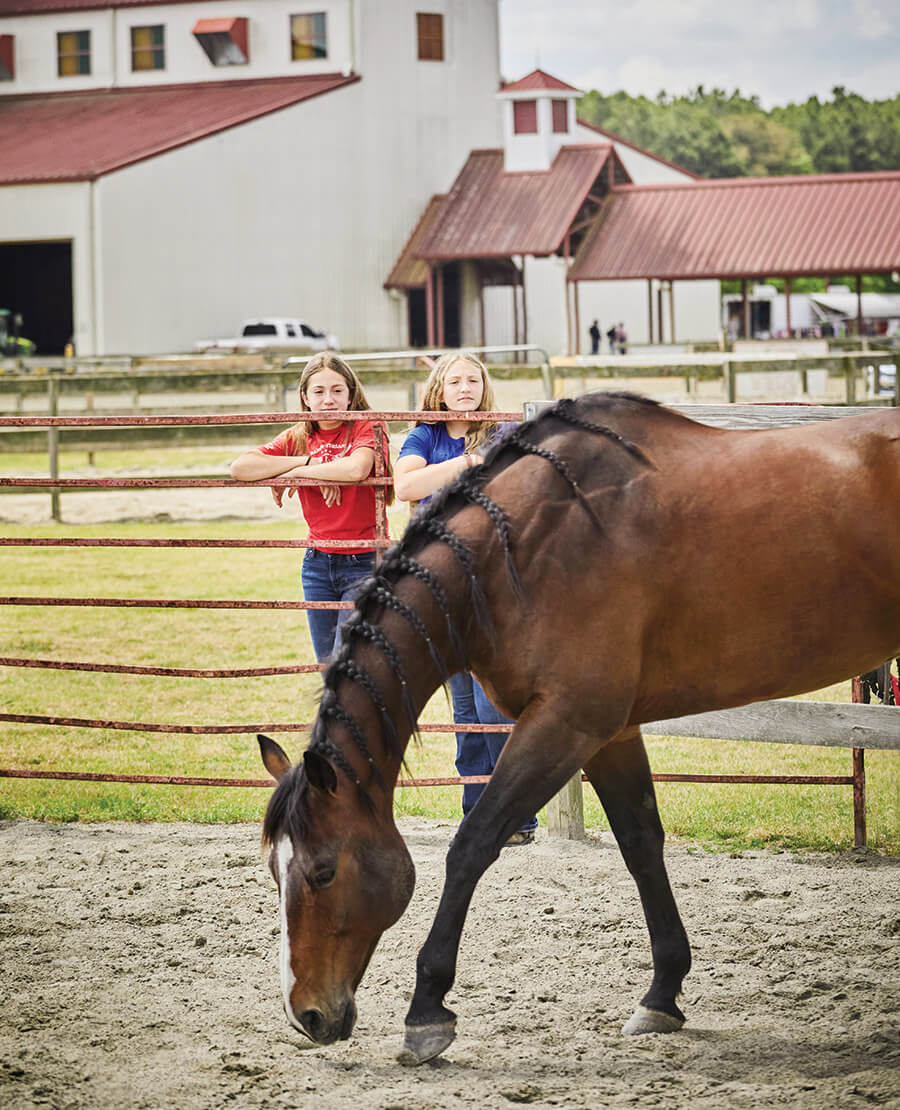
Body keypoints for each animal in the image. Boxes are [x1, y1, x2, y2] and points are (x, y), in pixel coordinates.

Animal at [257, 392, 900, 1065]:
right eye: (275, 871)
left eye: (323, 871)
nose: (307, 1015)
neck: (517, 553)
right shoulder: (609, 733)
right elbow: (641, 843)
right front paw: (662, 996)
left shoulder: (564, 723)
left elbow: (473, 844)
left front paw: (427, 1011)